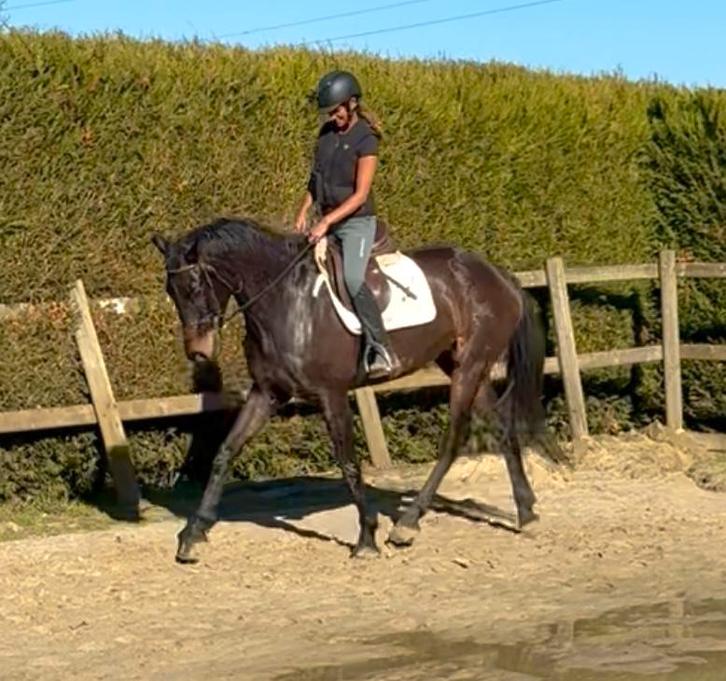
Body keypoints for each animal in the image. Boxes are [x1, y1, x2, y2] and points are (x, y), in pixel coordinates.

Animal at [151, 216, 552, 563]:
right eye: (170, 290)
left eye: (194, 285)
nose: (198, 352)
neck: (285, 301)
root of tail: (498, 275)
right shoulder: (267, 393)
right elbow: (225, 452)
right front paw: (193, 534)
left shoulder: (331, 394)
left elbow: (348, 463)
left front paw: (366, 538)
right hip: (462, 364)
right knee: (502, 429)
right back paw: (526, 511)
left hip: (470, 366)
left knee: (454, 439)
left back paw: (408, 524)